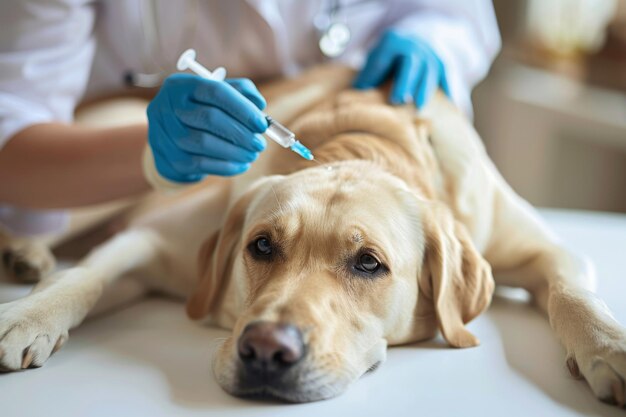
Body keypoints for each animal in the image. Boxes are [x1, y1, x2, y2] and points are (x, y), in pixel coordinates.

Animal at [1, 66, 624, 404]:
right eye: (261, 246)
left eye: (368, 262)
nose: (264, 351)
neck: (364, 135)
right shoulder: (151, 240)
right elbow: (84, 276)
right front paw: (26, 318)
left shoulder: (546, 248)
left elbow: (572, 295)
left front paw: (608, 350)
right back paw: (24, 251)